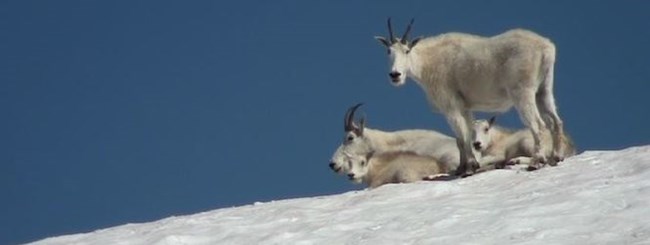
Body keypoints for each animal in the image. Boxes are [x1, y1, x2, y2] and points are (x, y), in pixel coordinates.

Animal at [374, 18, 568, 176]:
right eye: (389, 51)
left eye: (407, 51)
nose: (395, 75)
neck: (427, 63)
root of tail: (547, 48)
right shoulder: (465, 107)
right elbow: (463, 137)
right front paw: (460, 168)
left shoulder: (451, 106)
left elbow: (462, 136)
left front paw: (469, 168)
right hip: (543, 90)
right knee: (555, 121)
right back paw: (556, 157)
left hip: (523, 93)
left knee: (538, 124)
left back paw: (536, 161)